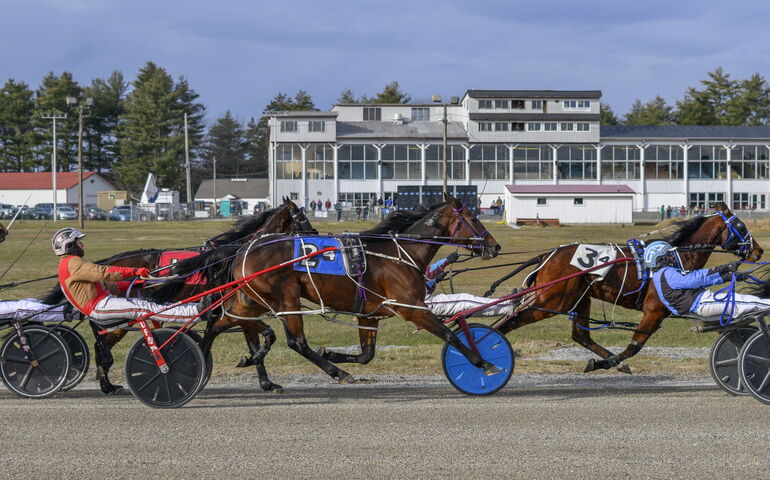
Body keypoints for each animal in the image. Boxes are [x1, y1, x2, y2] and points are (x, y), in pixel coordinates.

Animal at [38, 198, 316, 394]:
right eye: (302, 218)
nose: (314, 234)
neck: (234, 256)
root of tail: (107, 262)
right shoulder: (238, 311)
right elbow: (260, 339)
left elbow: (255, 343)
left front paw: (265, 380)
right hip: (118, 314)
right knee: (100, 341)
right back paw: (105, 381)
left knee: (101, 342)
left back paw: (106, 381)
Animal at [204, 193, 500, 384]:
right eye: (474, 217)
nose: (495, 246)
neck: (398, 253)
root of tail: (244, 250)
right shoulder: (413, 307)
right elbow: (450, 336)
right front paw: (484, 363)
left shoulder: (369, 314)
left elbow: (367, 355)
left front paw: (332, 352)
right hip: (285, 299)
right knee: (296, 342)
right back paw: (337, 373)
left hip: (251, 299)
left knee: (219, 324)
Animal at [496, 201, 760, 374]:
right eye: (741, 226)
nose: (758, 250)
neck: (673, 257)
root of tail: (546, 256)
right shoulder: (654, 311)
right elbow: (635, 346)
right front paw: (608, 363)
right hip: (552, 300)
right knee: (511, 321)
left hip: (581, 297)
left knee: (581, 335)